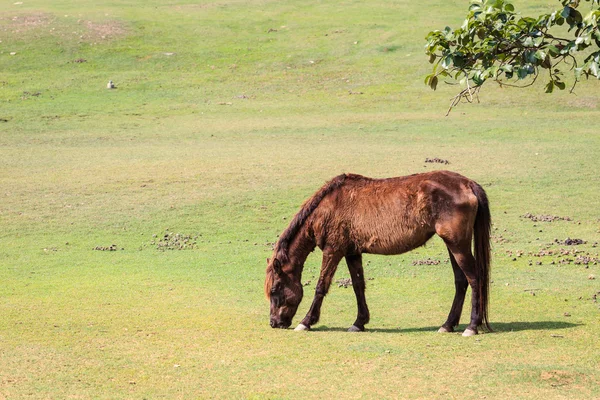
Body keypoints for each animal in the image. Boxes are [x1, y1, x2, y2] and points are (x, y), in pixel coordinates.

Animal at [264, 170, 490, 336]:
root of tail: (467, 184)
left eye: (275, 290)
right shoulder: (352, 253)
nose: (274, 323)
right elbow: (358, 286)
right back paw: (448, 324)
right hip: (453, 245)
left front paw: (306, 321)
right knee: (461, 281)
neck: (328, 207)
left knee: (474, 278)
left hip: (458, 245)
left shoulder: (333, 251)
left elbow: (321, 286)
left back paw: (472, 326)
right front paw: (359, 322)